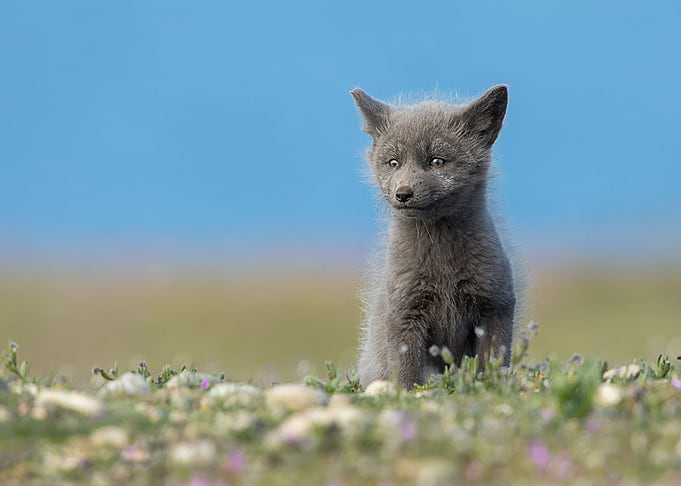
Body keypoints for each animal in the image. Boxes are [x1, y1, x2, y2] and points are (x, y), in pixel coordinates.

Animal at [351, 85, 516, 389]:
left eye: (436, 161)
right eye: (393, 162)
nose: (403, 193)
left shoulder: (495, 306)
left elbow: (492, 362)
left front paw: (491, 386)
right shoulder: (404, 312)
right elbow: (406, 370)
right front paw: (406, 393)